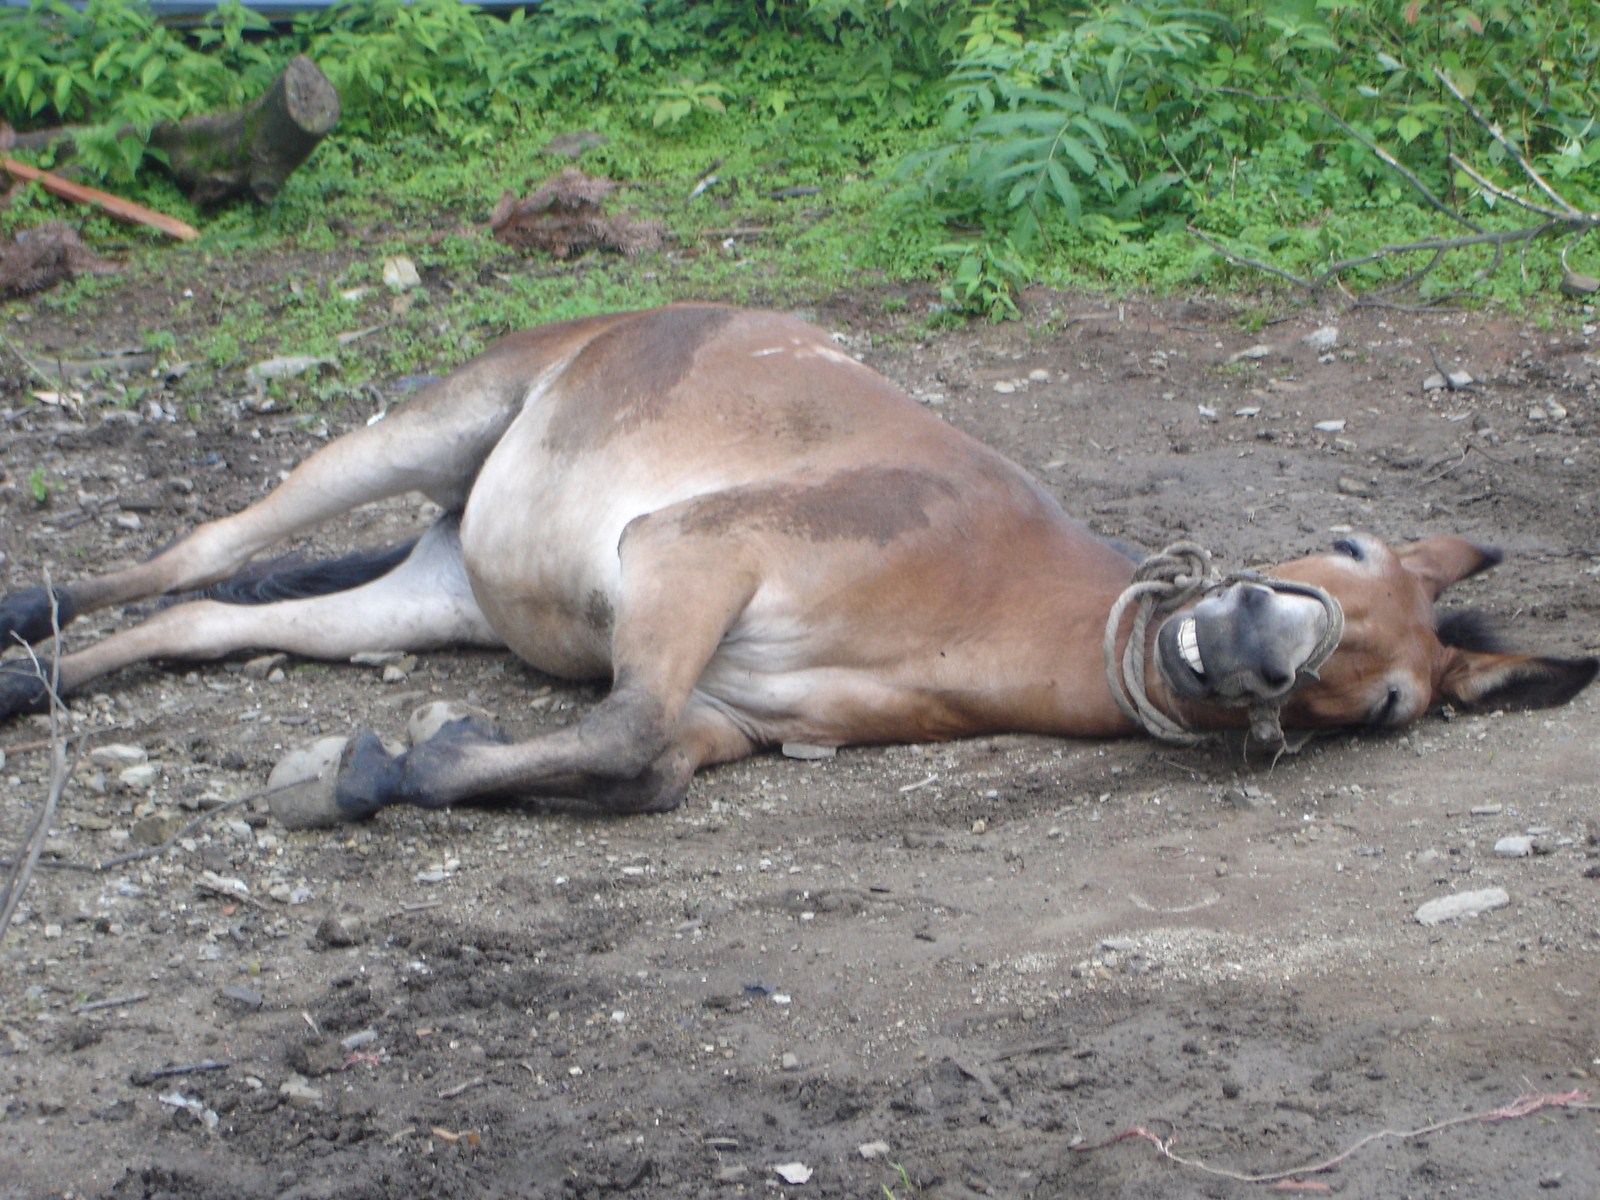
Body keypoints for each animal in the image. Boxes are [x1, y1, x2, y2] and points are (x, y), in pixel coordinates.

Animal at [2, 304, 1593, 827]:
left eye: (1386, 705)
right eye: (1343, 543)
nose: (1258, 637)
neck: (986, 604)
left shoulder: (732, 720)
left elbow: (639, 759)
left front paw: (407, 763)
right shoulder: (683, 553)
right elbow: (624, 733)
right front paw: (392, 767)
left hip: (439, 592)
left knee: (202, 622)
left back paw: (36, 685)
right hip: (426, 425)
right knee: (197, 553)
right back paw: (28, 622)